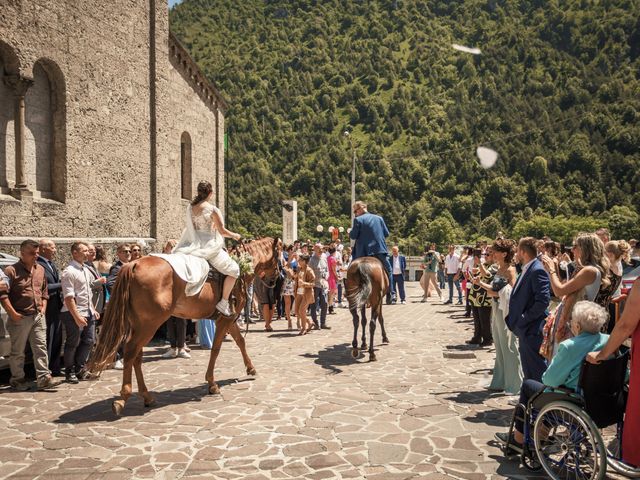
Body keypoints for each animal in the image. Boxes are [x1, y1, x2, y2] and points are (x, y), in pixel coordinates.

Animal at [87, 237, 280, 416]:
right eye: (278, 256)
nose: (275, 280)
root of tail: (133, 263)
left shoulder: (229, 319)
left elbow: (240, 341)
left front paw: (250, 368)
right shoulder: (225, 320)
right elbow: (216, 349)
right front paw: (212, 383)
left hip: (139, 325)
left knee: (136, 356)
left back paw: (147, 396)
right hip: (149, 325)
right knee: (130, 352)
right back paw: (123, 398)